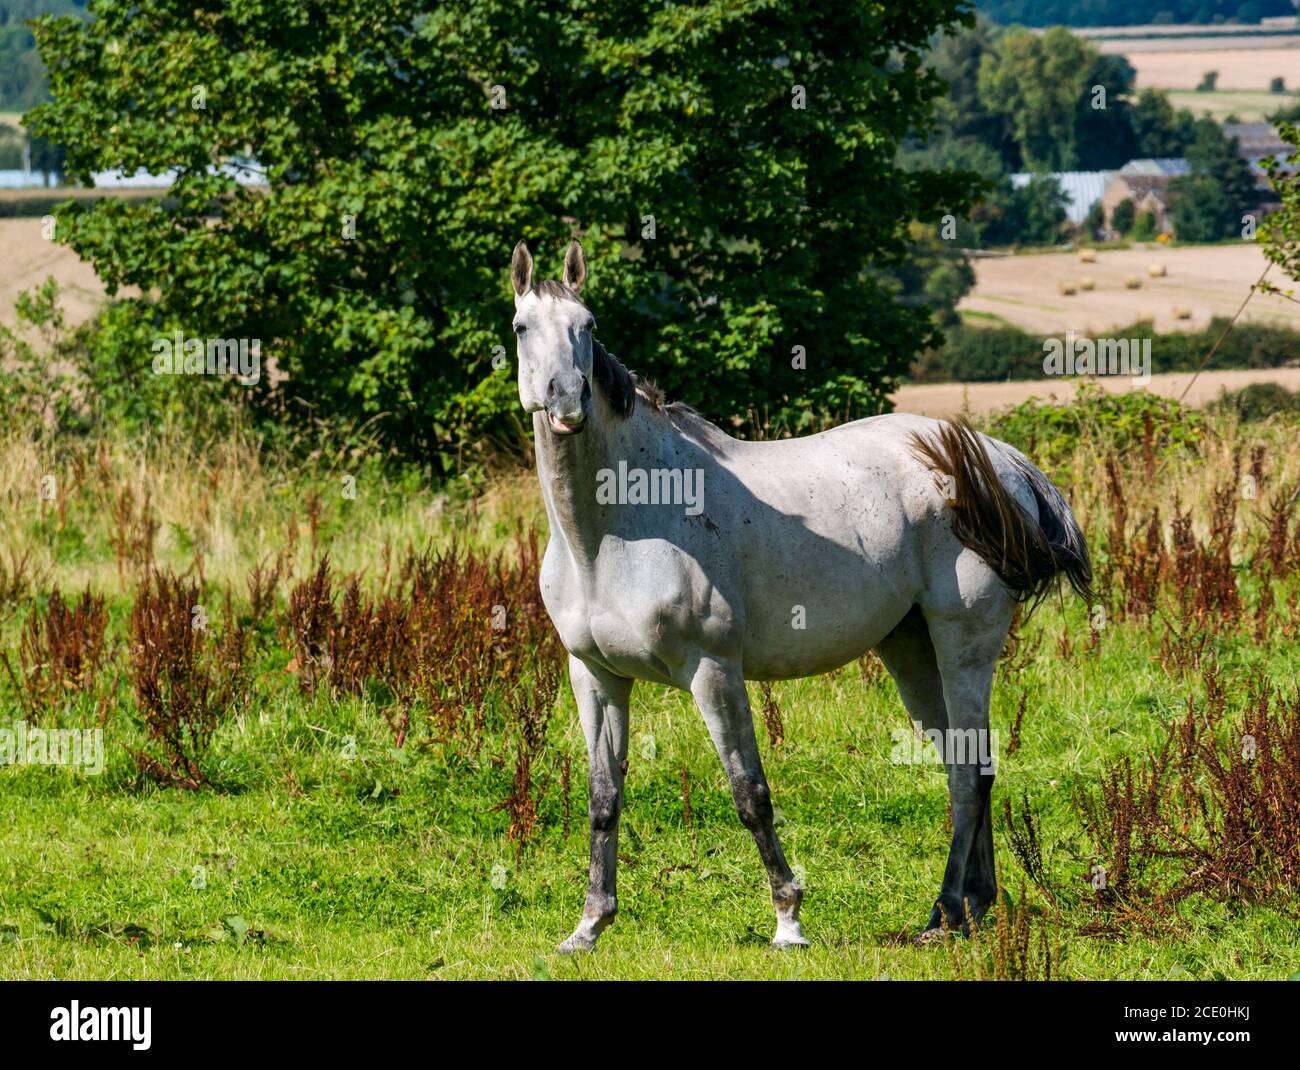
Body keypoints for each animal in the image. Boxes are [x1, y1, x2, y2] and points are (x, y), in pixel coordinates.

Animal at [512, 240, 1092, 951]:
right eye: (522, 328)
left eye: (588, 326)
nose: (568, 402)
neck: (616, 530)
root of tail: (998, 462)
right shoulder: (595, 676)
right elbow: (603, 797)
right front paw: (589, 925)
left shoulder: (713, 672)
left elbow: (750, 793)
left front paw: (788, 919)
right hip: (911, 650)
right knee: (967, 761)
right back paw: (973, 909)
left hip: (963, 644)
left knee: (967, 773)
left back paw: (946, 912)